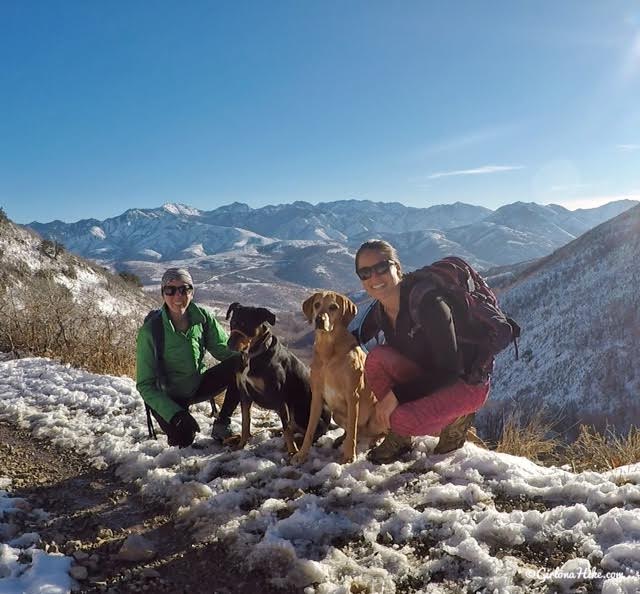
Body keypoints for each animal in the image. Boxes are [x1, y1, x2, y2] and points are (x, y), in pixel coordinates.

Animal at [222, 300, 330, 454]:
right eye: (233, 322)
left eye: (246, 325)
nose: (229, 344)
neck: (253, 355)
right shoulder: (244, 394)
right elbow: (245, 423)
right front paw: (241, 445)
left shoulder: (279, 398)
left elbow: (287, 429)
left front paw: (292, 451)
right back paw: (275, 430)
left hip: (300, 409)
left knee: (310, 433)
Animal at [292, 290, 382, 462]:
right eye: (317, 305)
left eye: (333, 307)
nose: (319, 320)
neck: (328, 351)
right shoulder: (317, 396)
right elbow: (310, 429)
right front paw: (302, 454)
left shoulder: (352, 395)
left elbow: (352, 430)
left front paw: (349, 456)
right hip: (337, 414)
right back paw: (341, 439)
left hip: (376, 415)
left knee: (377, 431)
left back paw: (374, 441)